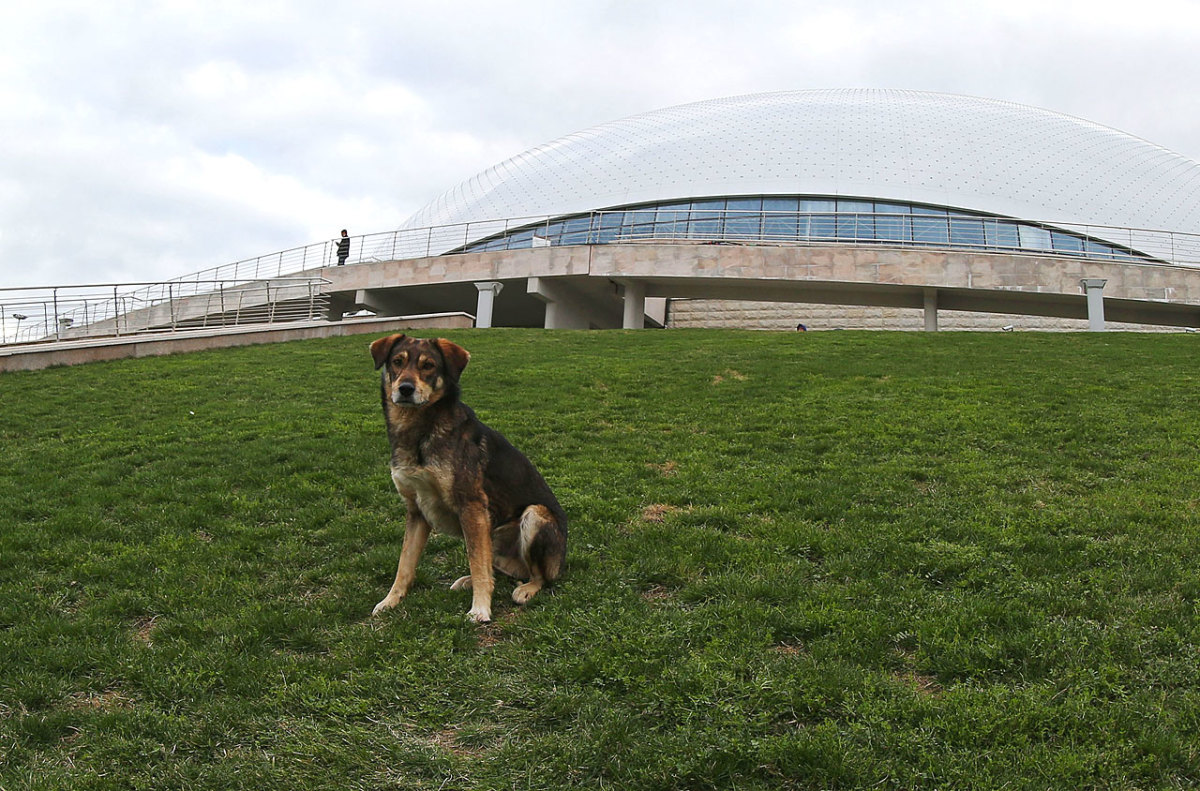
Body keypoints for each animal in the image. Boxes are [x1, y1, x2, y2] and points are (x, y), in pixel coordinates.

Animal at [367, 333, 568, 624]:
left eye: (428, 366)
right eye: (397, 361)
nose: (405, 388)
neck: (419, 430)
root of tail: (562, 560)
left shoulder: (471, 506)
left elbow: (478, 564)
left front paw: (480, 608)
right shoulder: (416, 511)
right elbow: (405, 564)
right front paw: (390, 601)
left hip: (534, 515)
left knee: (539, 576)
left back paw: (527, 589)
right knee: (500, 568)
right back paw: (468, 580)